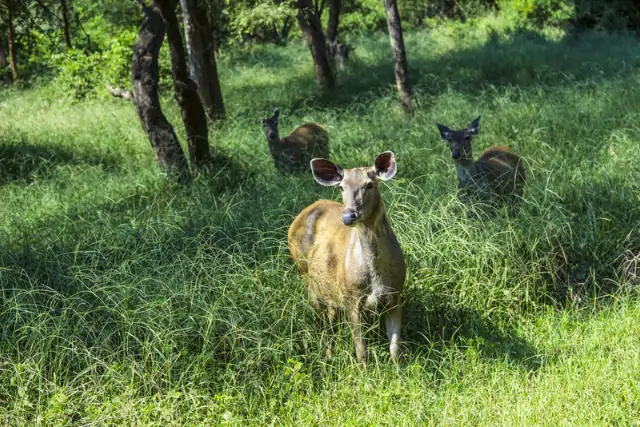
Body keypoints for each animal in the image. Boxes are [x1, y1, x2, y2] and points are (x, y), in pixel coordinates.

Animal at [288, 151, 406, 366]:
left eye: (370, 184)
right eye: (341, 187)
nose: (349, 216)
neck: (376, 277)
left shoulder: (395, 294)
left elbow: (395, 349)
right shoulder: (352, 298)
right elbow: (361, 351)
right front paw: (364, 373)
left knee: (331, 317)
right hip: (306, 279)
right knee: (324, 325)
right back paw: (327, 356)